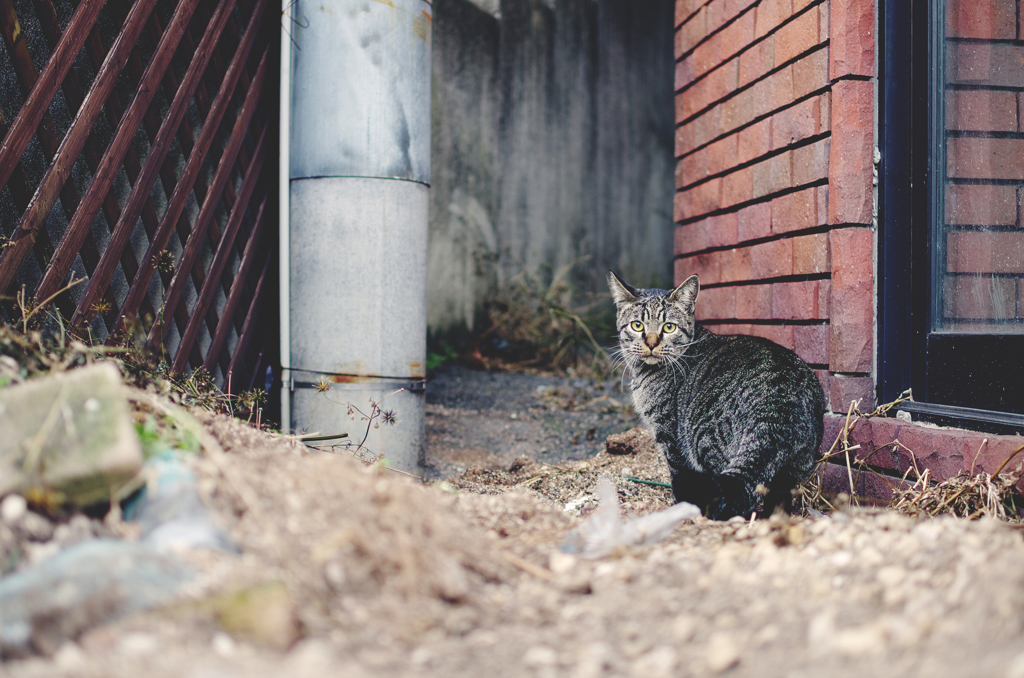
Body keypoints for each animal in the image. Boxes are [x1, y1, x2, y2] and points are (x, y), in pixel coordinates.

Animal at [606, 270, 823, 520]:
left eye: (669, 327)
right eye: (637, 325)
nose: (651, 343)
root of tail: (777, 411)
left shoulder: (671, 438)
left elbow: (678, 474)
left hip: (705, 438)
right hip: (793, 469)